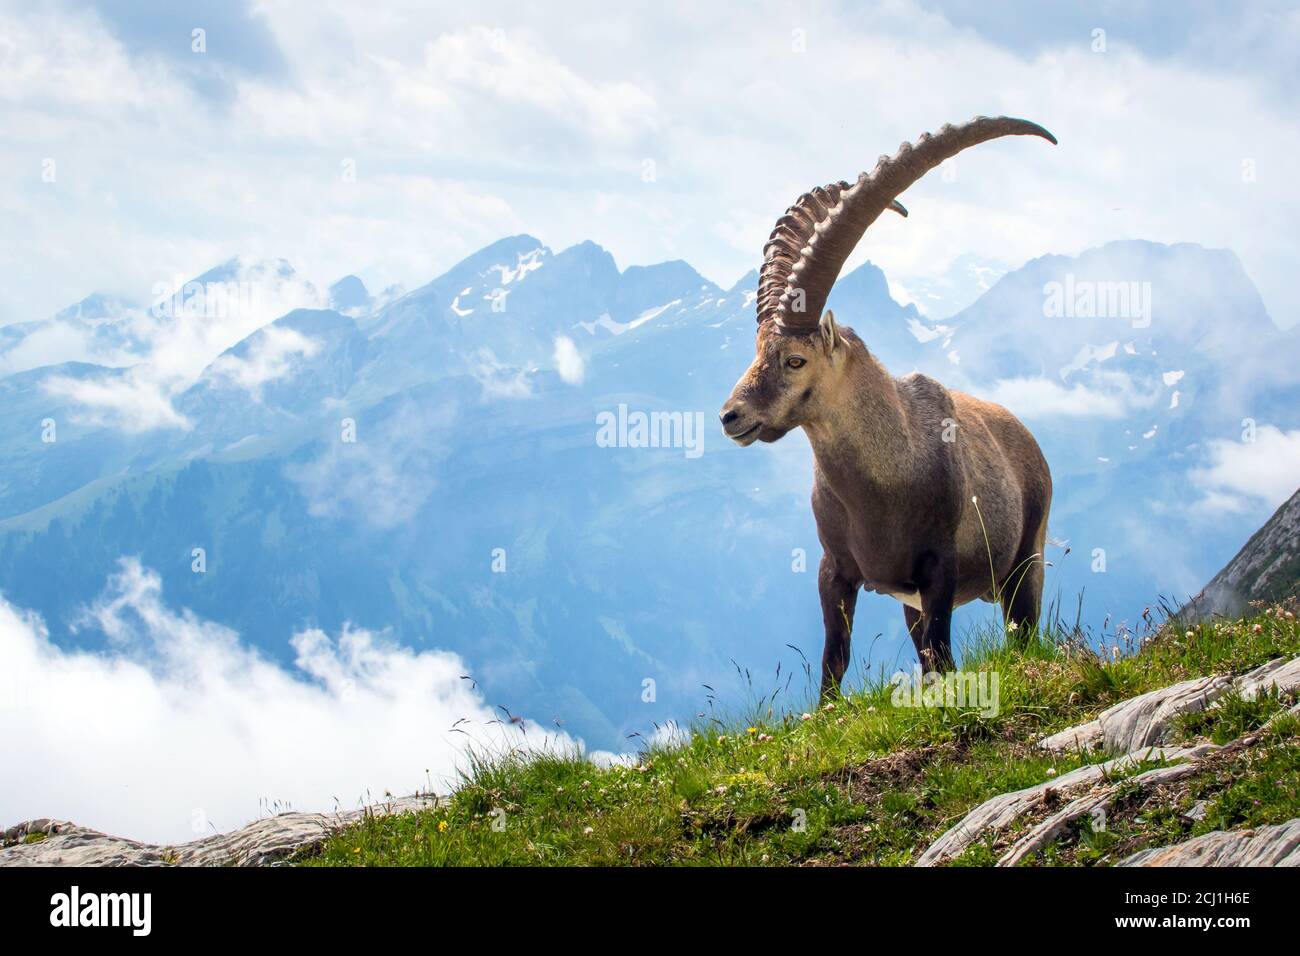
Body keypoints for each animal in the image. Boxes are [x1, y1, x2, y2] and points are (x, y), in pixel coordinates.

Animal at [719, 116, 1056, 696]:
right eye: (757, 352)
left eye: (794, 360)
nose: (730, 416)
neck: (884, 481)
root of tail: (1028, 438)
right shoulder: (836, 569)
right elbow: (835, 658)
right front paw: (826, 711)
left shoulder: (939, 568)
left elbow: (943, 658)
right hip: (914, 603)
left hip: (1024, 563)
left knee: (1022, 631)